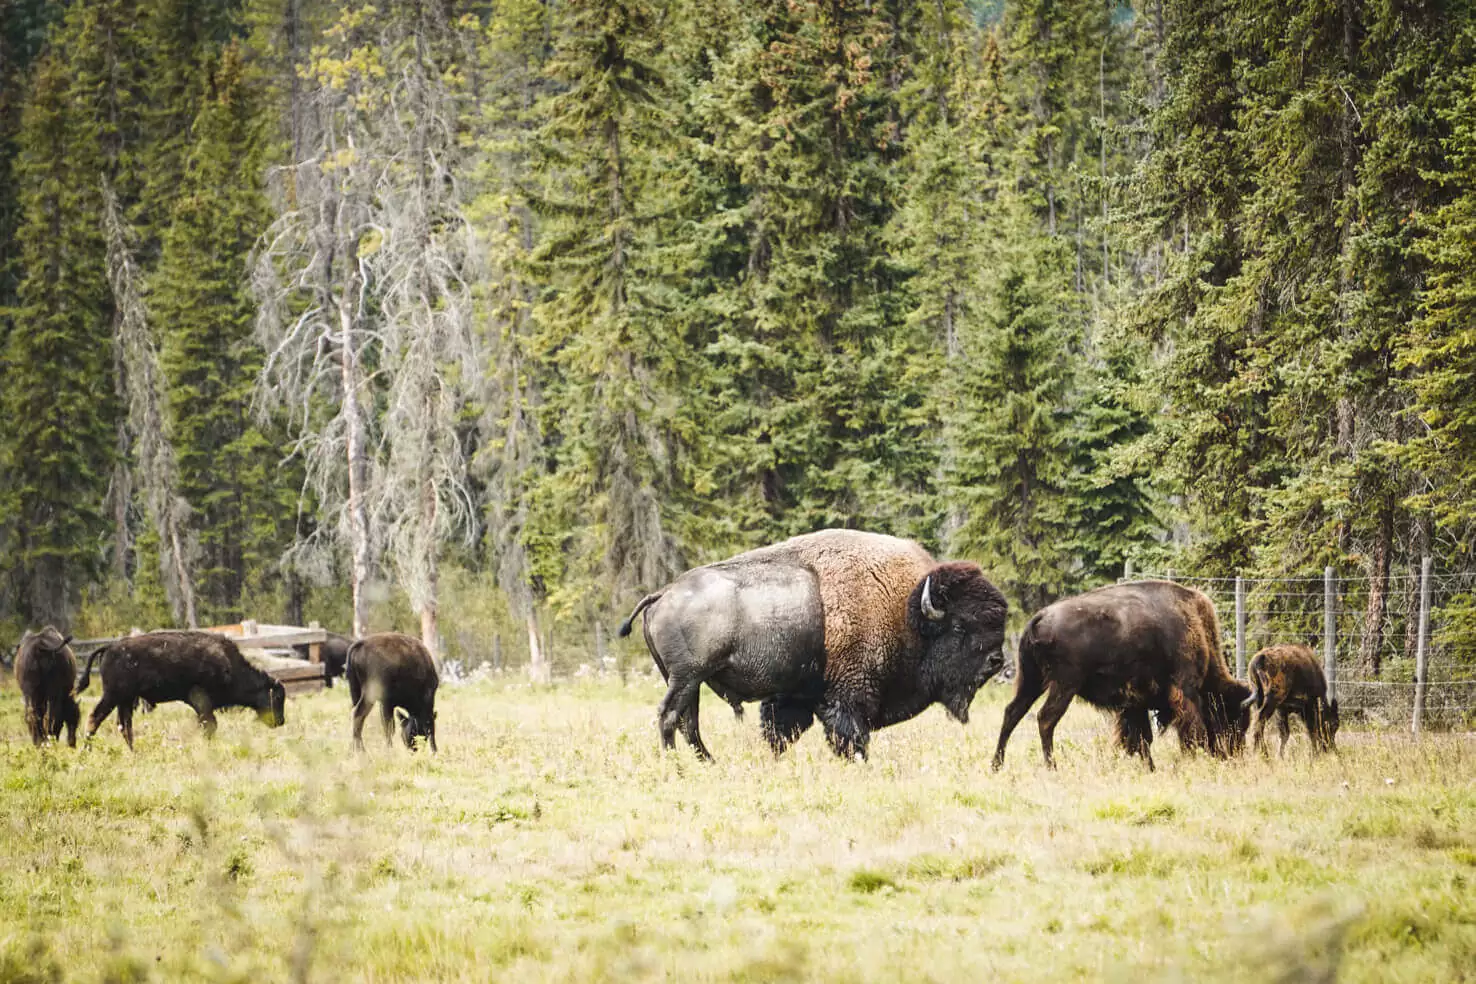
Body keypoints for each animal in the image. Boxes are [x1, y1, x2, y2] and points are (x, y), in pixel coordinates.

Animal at [77, 631, 287, 746]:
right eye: (277, 698)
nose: (280, 721)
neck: (229, 664)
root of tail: (109, 647)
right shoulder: (201, 698)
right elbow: (210, 724)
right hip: (113, 695)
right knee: (95, 718)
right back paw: (87, 749)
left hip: (125, 700)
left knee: (124, 726)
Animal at [616, 531, 1009, 761]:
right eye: (959, 625)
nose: (996, 661)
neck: (906, 609)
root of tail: (663, 593)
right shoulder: (849, 697)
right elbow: (850, 736)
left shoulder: (796, 696)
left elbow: (781, 731)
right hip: (686, 677)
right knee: (670, 716)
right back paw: (675, 765)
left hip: (690, 681)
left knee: (689, 723)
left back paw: (707, 763)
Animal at [997, 581, 1251, 773]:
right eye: (1232, 718)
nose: (1234, 755)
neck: (1193, 622)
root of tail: (1039, 617)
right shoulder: (1184, 691)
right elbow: (1186, 732)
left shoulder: (1135, 703)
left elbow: (1140, 738)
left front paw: (1148, 767)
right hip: (1064, 685)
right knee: (1045, 719)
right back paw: (1052, 767)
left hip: (1031, 680)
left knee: (1012, 712)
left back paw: (996, 765)